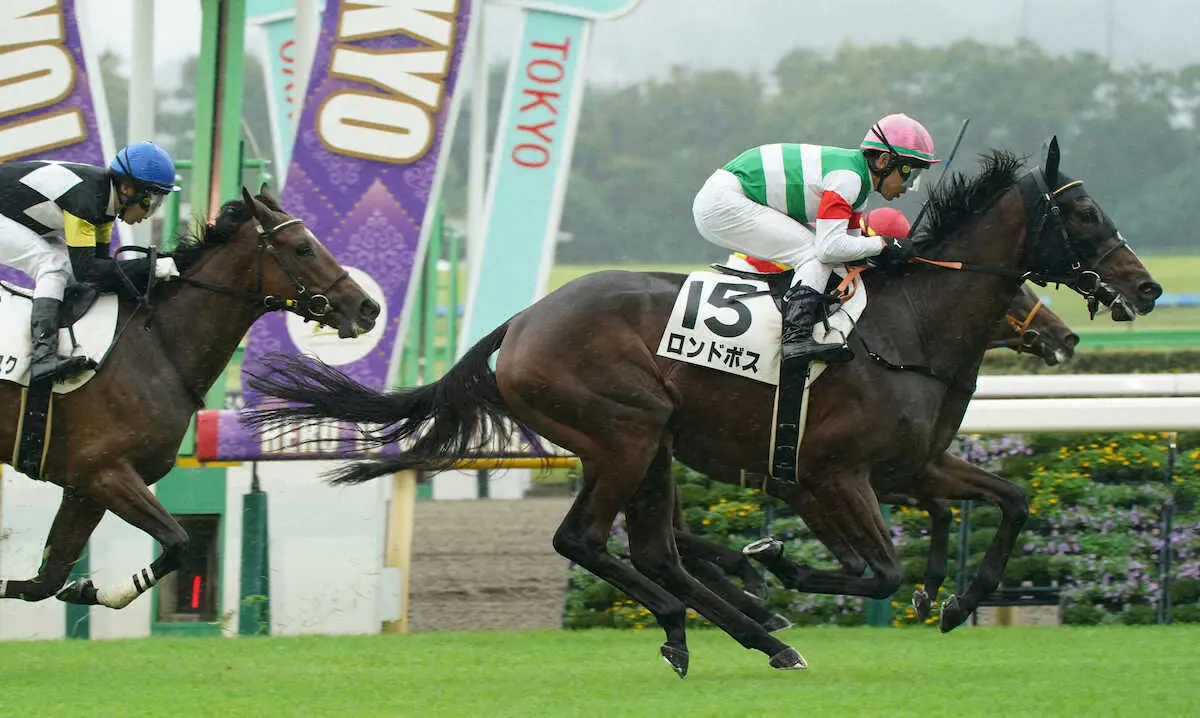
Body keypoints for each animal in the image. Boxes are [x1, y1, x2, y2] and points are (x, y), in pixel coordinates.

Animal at [0, 189, 379, 612]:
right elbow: (179, 542)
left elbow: (45, 582)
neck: (157, 345)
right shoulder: (107, 473)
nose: (368, 308)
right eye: (303, 248)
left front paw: (82, 589)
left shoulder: (83, 488)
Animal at [246, 139, 1161, 677]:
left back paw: (741, 633)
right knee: (587, 540)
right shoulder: (827, 477)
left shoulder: (913, 465)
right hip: (625, 433)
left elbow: (1011, 499)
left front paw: (963, 600)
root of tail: (525, 319)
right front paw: (780, 565)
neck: (909, 328)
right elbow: (878, 568)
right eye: (1083, 212)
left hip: (651, 446)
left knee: (653, 548)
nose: (1147, 288)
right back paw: (724, 622)